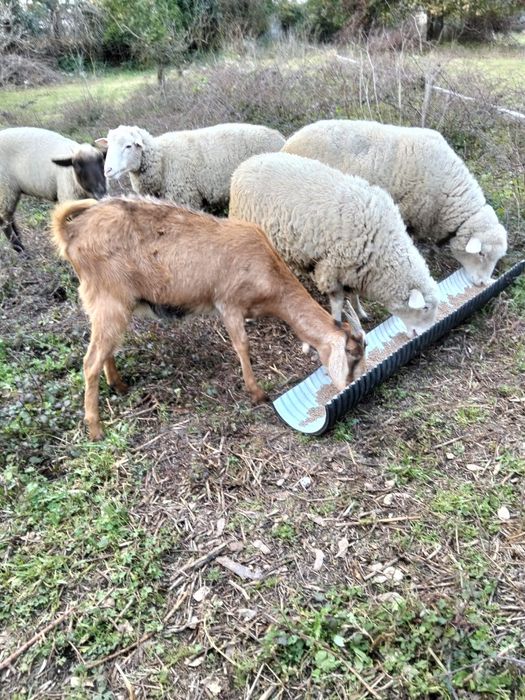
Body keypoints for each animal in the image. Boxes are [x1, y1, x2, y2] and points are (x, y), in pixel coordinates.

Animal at [51, 197, 366, 440]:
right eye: (353, 356)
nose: (351, 385)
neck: (268, 270)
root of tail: (72, 232)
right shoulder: (229, 303)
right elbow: (242, 345)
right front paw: (257, 393)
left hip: (110, 306)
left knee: (105, 348)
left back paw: (119, 385)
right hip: (109, 300)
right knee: (90, 362)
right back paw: (95, 429)